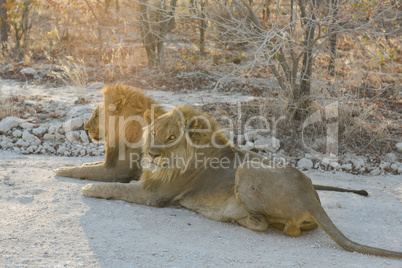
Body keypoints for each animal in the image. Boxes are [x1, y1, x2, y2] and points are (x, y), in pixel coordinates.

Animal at [82, 105, 402, 260]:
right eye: (154, 133)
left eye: (171, 137)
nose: (151, 153)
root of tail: (313, 198)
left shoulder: (153, 195)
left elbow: (115, 187)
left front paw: (89, 187)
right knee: (290, 228)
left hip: (247, 169)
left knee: (271, 226)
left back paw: (230, 216)